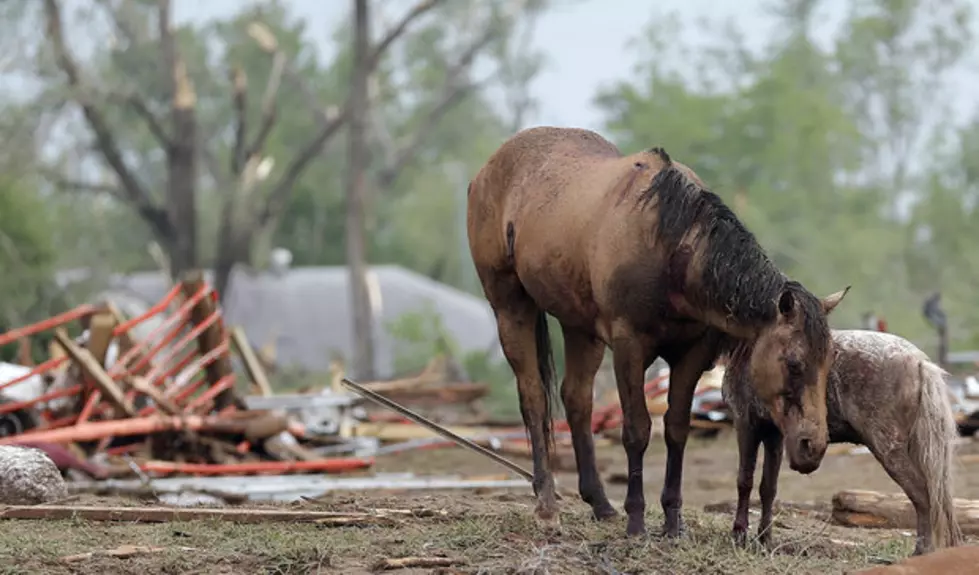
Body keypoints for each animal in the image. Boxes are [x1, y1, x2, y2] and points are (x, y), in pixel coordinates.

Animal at [468, 125, 848, 536]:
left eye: (830, 363)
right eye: (794, 363)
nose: (814, 447)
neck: (672, 248)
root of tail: (486, 171)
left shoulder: (691, 354)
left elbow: (676, 428)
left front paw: (672, 521)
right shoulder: (629, 347)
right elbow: (637, 429)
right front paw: (637, 520)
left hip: (579, 325)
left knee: (576, 398)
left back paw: (600, 502)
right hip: (510, 306)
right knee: (534, 397)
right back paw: (547, 502)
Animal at [724, 330, 960, 556]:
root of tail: (919, 362)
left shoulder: (746, 425)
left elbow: (744, 481)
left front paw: (740, 536)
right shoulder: (774, 435)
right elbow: (768, 488)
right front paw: (764, 539)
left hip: (888, 448)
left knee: (922, 496)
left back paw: (922, 551)